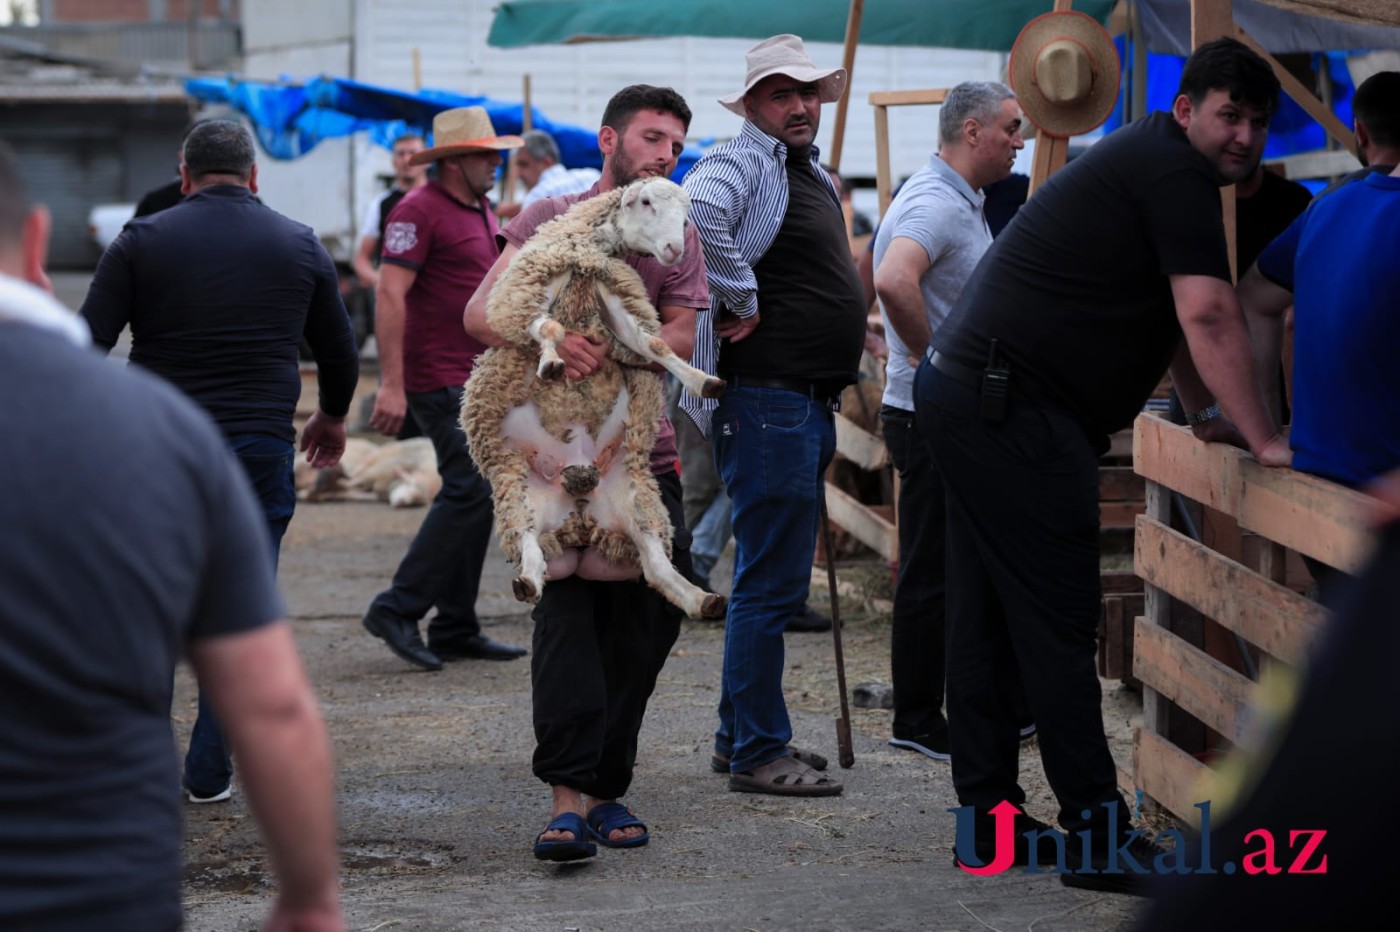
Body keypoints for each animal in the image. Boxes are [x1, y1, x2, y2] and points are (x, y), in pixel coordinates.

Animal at [464, 178, 728, 621]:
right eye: (645, 202)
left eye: (686, 217)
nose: (675, 249)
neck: (589, 257)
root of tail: (580, 504)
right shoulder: (524, 292)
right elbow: (548, 327)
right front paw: (552, 361)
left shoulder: (615, 298)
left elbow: (654, 344)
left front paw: (702, 381)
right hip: (519, 493)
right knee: (530, 545)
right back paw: (527, 582)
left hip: (636, 502)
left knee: (656, 566)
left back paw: (702, 599)